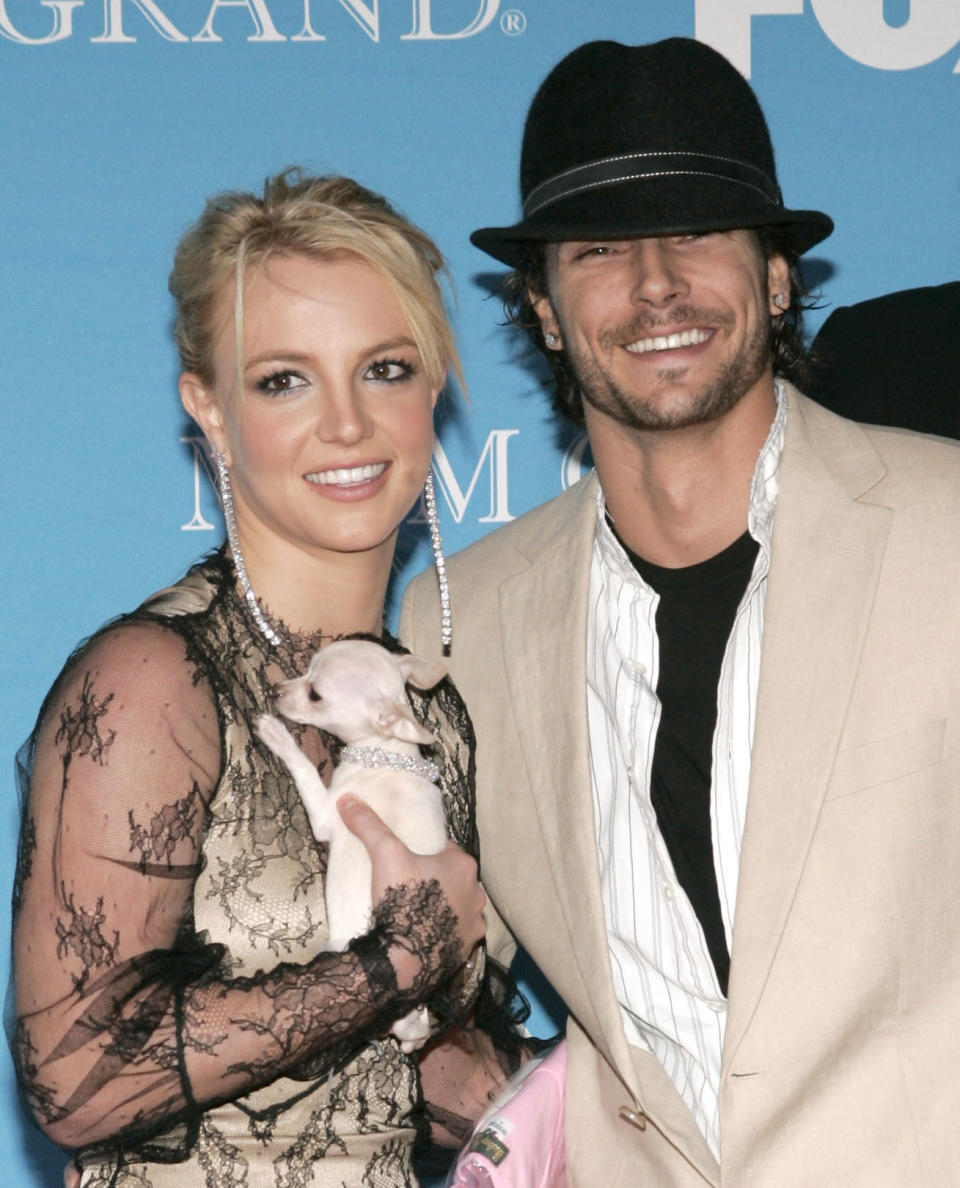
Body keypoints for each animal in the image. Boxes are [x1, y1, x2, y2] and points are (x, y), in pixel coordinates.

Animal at [255, 636, 449, 1054]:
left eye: (315, 694)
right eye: (306, 668)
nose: (276, 690)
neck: (387, 753)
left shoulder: (328, 812)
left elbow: (305, 769)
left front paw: (279, 737)